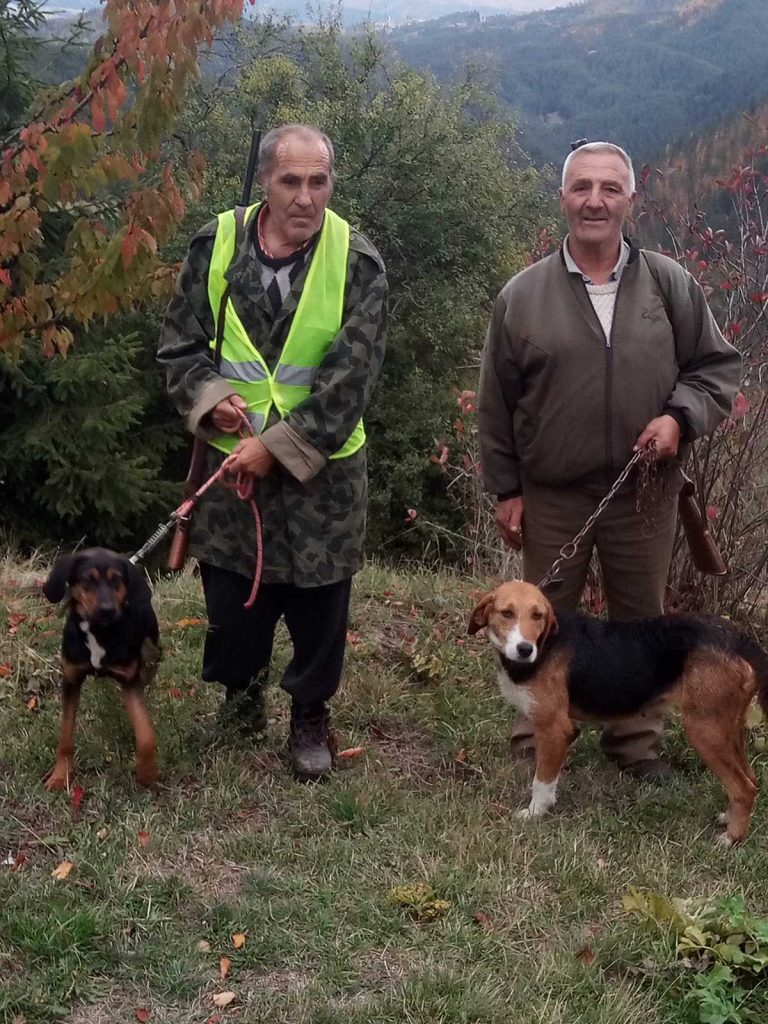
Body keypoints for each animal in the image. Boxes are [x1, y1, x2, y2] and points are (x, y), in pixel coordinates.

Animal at [42, 548, 160, 790]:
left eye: (117, 580)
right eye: (88, 580)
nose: (106, 609)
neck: (99, 631)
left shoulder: (130, 680)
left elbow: (145, 734)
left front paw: (147, 774)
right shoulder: (71, 680)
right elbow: (65, 736)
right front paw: (59, 776)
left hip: (150, 655)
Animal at [469, 581, 768, 846]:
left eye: (537, 615)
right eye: (507, 613)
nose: (525, 649)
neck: (546, 644)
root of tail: (736, 638)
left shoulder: (554, 728)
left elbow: (542, 782)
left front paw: (534, 813)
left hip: (704, 731)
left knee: (743, 788)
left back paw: (732, 838)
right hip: (729, 728)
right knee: (749, 780)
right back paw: (729, 819)